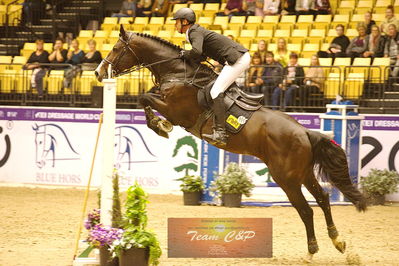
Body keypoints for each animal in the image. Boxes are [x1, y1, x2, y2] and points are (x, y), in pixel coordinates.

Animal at [95, 25, 368, 260]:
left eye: (116, 49)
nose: (98, 73)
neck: (177, 73)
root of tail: (304, 132)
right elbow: (146, 98)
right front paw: (159, 125)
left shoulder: (176, 111)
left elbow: (144, 98)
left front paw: (160, 126)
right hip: (303, 173)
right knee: (323, 199)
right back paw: (337, 241)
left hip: (286, 178)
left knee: (306, 209)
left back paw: (312, 250)